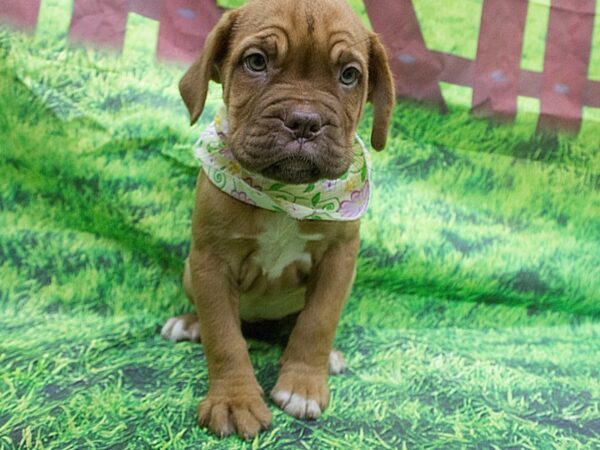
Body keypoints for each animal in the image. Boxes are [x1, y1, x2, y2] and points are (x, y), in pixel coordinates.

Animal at [161, 0, 394, 438]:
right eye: (256, 62)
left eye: (349, 75)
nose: (303, 121)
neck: (287, 194)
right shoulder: (210, 261)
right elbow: (224, 337)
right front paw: (234, 400)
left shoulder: (339, 259)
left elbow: (318, 322)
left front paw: (303, 384)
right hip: (188, 270)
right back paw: (189, 323)